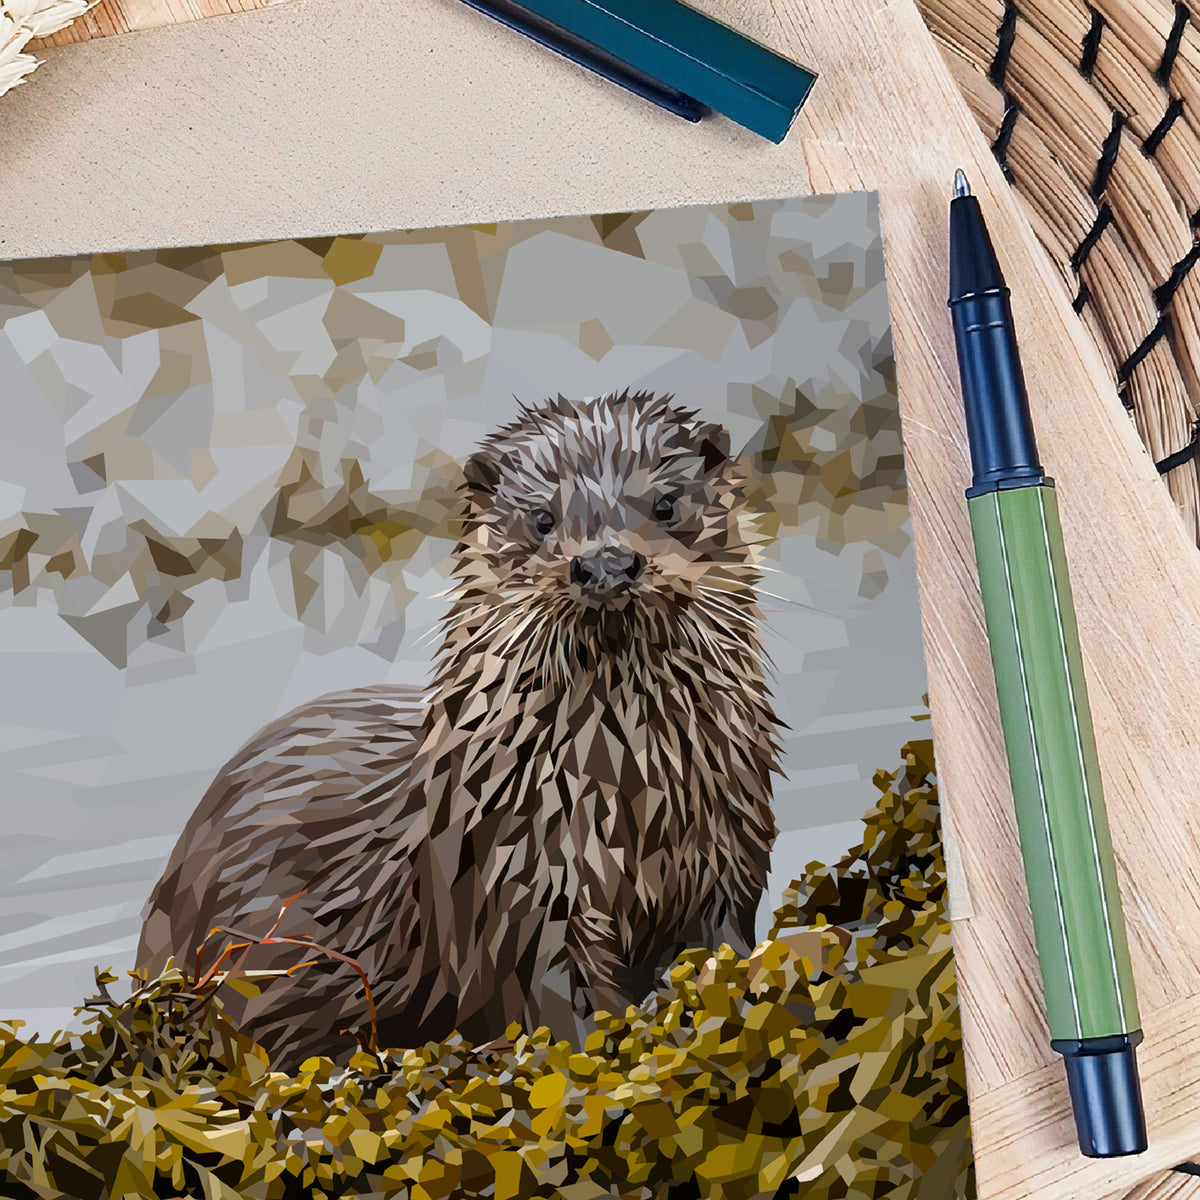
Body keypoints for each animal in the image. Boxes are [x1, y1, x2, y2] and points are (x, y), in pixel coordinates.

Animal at [137, 391, 782, 1066]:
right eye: (542, 519)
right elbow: (554, 1002)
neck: (631, 796)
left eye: (665, 503)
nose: (605, 564)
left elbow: (724, 941)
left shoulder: (730, 854)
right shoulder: (518, 887)